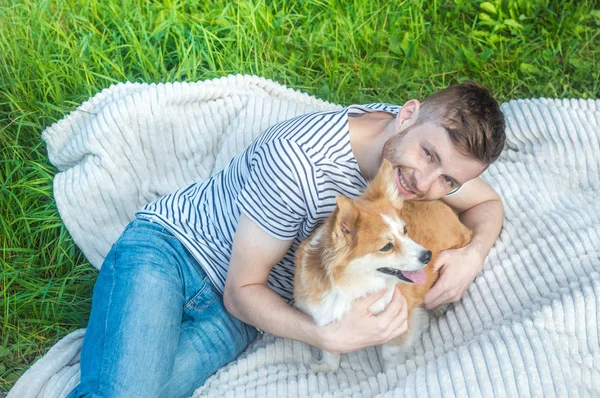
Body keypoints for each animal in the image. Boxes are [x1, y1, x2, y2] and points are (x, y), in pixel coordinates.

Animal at [292, 159, 472, 374]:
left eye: (405, 230)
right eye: (386, 247)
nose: (428, 255)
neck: (351, 286)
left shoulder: (399, 320)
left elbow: (390, 355)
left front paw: (392, 374)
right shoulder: (327, 322)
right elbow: (330, 349)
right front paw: (327, 367)